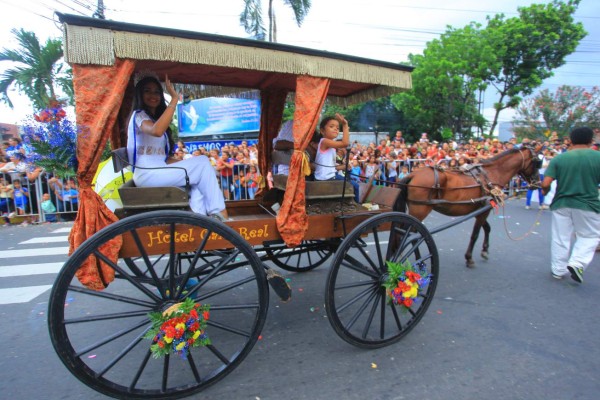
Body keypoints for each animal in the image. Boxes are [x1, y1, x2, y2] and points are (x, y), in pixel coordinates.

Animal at [394, 145, 544, 268]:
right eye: (537, 163)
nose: (538, 183)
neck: (491, 174)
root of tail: (413, 174)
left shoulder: (480, 209)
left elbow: (487, 228)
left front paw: (485, 250)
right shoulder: (483, 212)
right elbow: (475, 234)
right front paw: (469, 258)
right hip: (420, 210)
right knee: (409, 235)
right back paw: (416, 260)